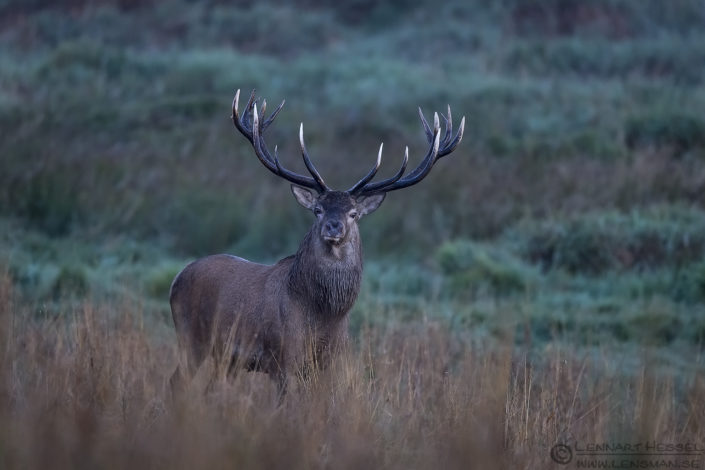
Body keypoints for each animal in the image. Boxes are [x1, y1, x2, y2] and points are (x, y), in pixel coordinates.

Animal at [169, 89, 464, 397]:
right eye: (318, 209)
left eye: (353, 213)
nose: (334, 226)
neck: (324, 317)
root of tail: (176, 278)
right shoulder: (283, 359)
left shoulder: (326, 363)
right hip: (190, 338)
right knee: (176, 381)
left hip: (225, 358)